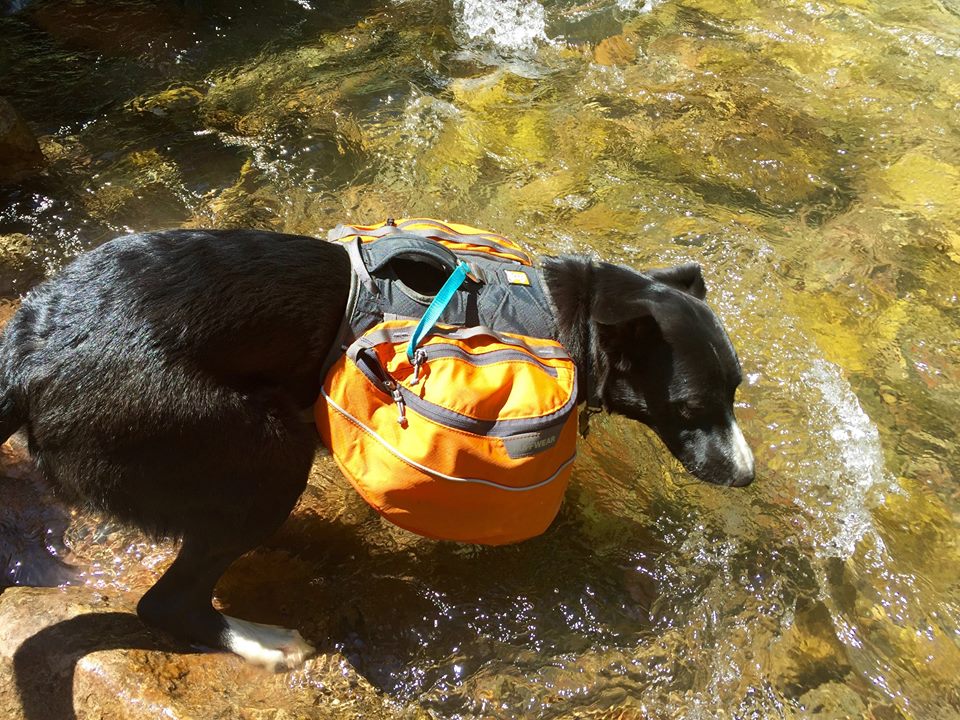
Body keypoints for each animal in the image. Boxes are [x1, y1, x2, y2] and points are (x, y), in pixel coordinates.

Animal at [0, 229, 752, 668]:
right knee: (168, 604)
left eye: (738, 388)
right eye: (692, 408)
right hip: (262, 451)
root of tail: (26, 352)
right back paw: (264, 642)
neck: (559, 310)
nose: (746, 476)